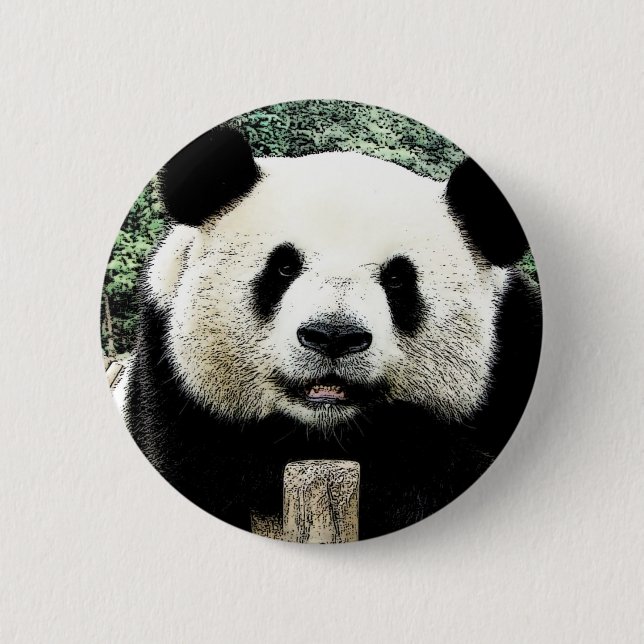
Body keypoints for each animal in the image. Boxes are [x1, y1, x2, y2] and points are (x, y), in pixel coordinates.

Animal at [121, 127, 542, 540]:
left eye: (398, 279)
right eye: (284, 267)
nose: (333, 336)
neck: (328, 431)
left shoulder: (516, 354)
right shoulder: (168, 390)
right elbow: (212, 460)